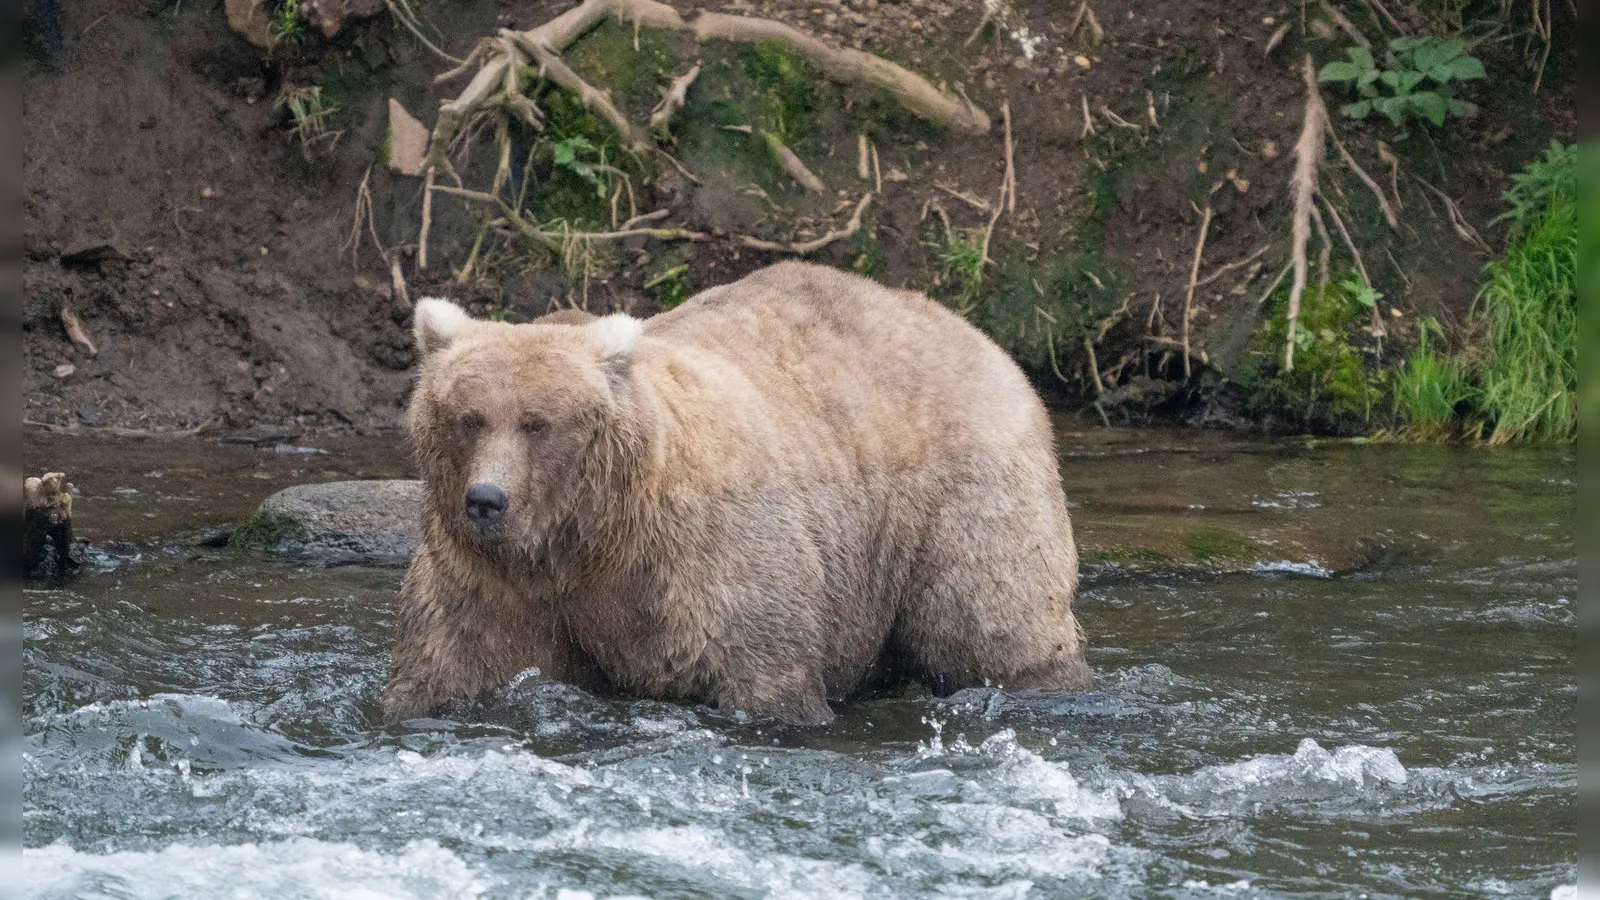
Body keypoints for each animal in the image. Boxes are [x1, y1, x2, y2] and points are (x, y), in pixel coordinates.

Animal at [380, 259, 1094, 720]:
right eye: (468, 417)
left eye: (538, 422)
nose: (486, 500)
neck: (589, 538)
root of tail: (974, 333)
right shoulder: (493, 581)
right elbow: (451, 665)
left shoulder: (703, 560)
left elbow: (761, 670)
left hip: (959, 497)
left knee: (992, 621)